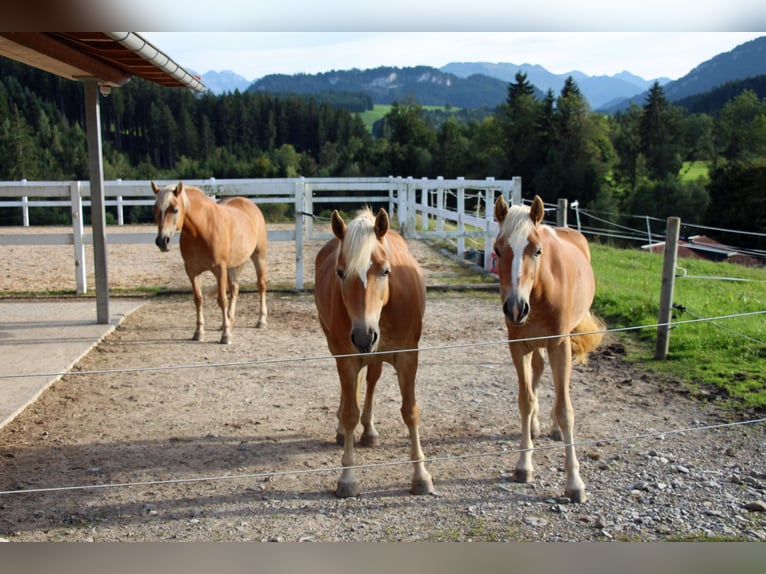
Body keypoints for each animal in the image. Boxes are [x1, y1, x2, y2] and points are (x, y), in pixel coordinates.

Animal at [152, 181, 268, 344]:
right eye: (155, 209)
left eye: (175, 209)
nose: (162, 241)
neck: (202, 229)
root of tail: (249, 204)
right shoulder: (192, 271)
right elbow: (198, 299)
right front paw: (199, 332)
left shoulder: (219, 269)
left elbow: (222, 300)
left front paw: (226, 335)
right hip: (231, 266)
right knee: (234, 288)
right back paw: (229, 321)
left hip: (258, 257)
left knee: (261, 285)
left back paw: (261, 321)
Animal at [314, 207, 433, 498]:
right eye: (340, 272)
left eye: (385, 271)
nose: (364, 335)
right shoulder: (347, 358)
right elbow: (349, 413)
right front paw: (347, 478)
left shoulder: (408, 357)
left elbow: (410, 411)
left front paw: (421, 475)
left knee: (371, 380)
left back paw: (369, 432)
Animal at [493, 194, 604, 503]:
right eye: (497, 250)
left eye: (537, 250)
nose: (515, 308)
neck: (540, 292)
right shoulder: (518, 346)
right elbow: (526, 400)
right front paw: (523, 465)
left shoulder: (559, 345)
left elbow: (566, 410)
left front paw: (574, 482)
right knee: (539, 372)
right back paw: (535, 426)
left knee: (559, 386)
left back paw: (553, 427)